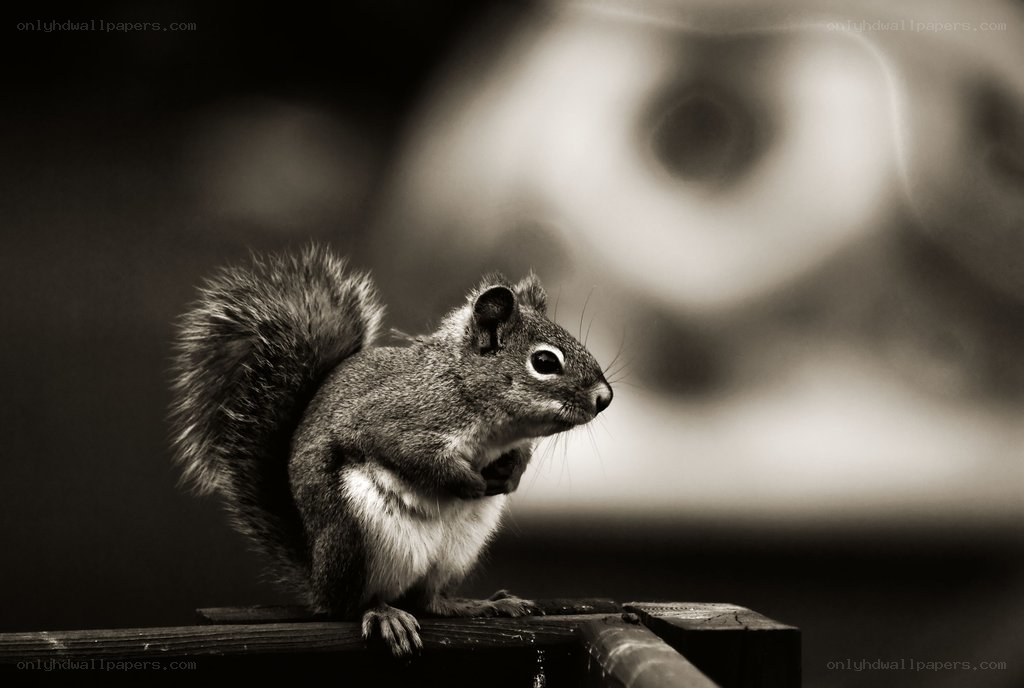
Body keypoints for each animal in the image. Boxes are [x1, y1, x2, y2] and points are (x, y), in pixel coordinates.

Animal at [170, 246, 612, 655]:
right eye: (544, 362)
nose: (605, 398)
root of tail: (319, 579)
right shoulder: (392, 419)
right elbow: (413, 456)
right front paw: (466, 483)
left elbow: (519, 456)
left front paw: (510, 475)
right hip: (361, 538)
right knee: (355, 605)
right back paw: (384, 614)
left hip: (456, 551)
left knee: (428, 600)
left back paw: (475, 605)